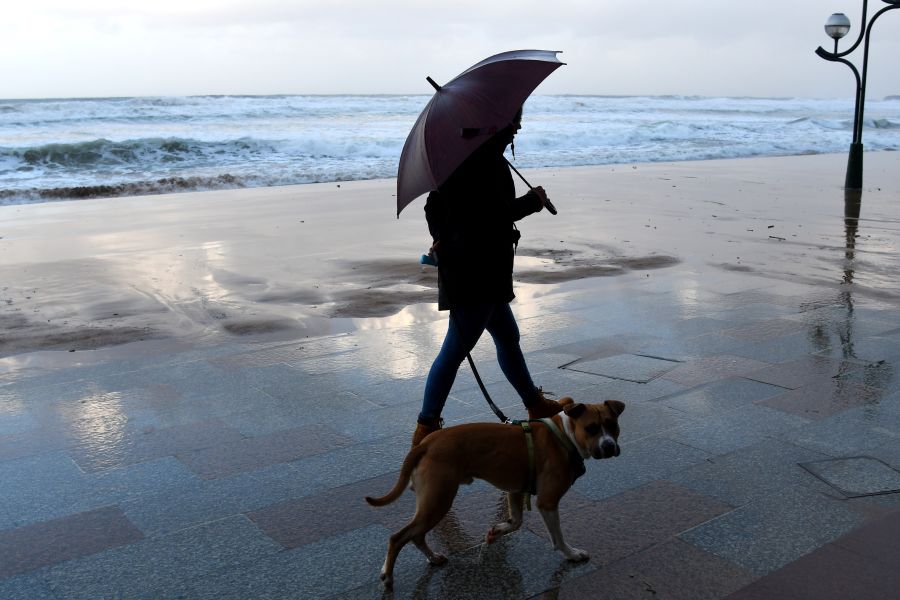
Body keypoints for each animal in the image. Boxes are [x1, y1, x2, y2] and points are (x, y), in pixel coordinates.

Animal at [362, 396, 624, 588]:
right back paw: (388, 576)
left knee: (416, 535)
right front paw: (572, 554)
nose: (609, 446)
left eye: (612, 425)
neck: (565, 434)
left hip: (432, 501)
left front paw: (496, 532)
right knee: (399, 537)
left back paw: (434, 558)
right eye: (591, 428)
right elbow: (557, 538)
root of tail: (425, 444)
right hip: (438, 500)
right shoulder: (548, 502)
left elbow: (516, 522)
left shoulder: (515, 491)